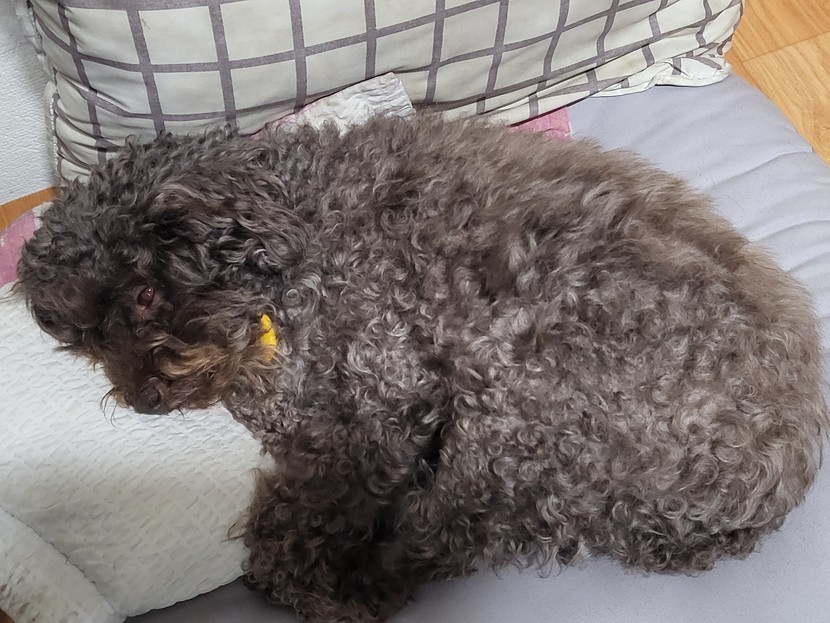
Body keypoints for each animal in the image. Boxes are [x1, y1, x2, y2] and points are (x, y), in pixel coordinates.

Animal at [18, 116, 828, 622]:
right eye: (85, 340)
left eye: (145, 294)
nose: (146, 399)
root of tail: (763, 500)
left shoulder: (386, 388)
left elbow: (300, 518)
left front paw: (304, 571)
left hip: (519, 407)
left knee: (439, 538)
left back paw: (360, 589)